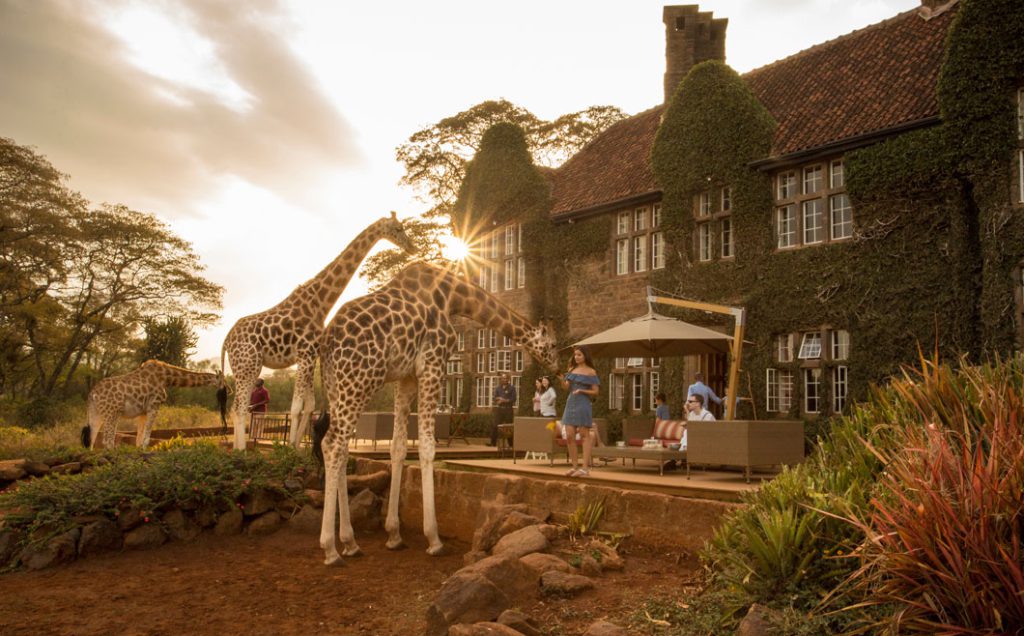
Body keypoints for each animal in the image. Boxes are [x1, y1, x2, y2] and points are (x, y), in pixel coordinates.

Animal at [85, 359, 228, 449]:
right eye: (224, 381)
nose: (230, 390)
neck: (167, 378)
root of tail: (93, 394)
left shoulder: (143, 411)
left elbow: (139, 437)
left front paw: (139, 451)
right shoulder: (154, 405)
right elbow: (147, 435)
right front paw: (143, 449)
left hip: (95, 413)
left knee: (91, 439)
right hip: (112, 413)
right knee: (107, 440)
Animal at [220, 213, 416, 450]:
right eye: (398, 228)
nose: (413, 247)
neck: (320, 303)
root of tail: (226, 340)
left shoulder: (311, 355)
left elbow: (309, 405)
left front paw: (296, 448)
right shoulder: (304, 354)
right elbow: (296, 407)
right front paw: (288, 448)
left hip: (247, 366)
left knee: (237, 406)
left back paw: (239, 448)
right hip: (247, 364)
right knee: (239, 407)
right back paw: (241, 450)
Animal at [317, 261, 560, 565]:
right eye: (553, 344)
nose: (559, 367)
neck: (453, 297)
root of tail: (327, 340)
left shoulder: (406, 377)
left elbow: (398, 447)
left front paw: (394, 534)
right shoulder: (432, 365)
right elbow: (427, 447)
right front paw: (434, 539)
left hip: (335, 386)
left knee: (340, 447)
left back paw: (350, 542)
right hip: (360, 380)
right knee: (333, 444)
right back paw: (330, 549)